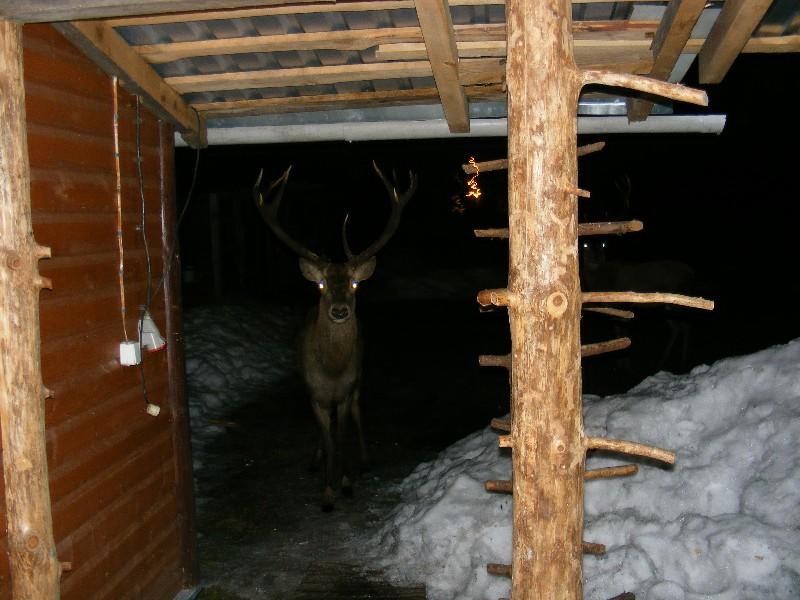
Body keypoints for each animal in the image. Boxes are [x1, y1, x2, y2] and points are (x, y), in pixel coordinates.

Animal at [255, 161, 418, 510]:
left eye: (355, 284)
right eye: (321, 285)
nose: (340, 311)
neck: (331, 370)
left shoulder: (345, 389)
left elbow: (341, 436)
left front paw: (345, 481)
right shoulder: (315, 392)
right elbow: (328, 438)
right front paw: (327, 490)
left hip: (360, 375)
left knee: (357, 410)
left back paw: (365, 459)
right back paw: (316, 461)